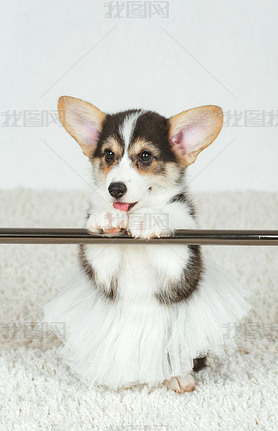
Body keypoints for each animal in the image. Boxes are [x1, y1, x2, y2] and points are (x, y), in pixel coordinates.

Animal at [44, 98, 250, 394]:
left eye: (144, 157)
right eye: (109, 154)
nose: (115, 189)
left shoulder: (182, 266)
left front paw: (148, 221)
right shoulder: (102, 273)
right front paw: (106, 217)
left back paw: (177, 376)